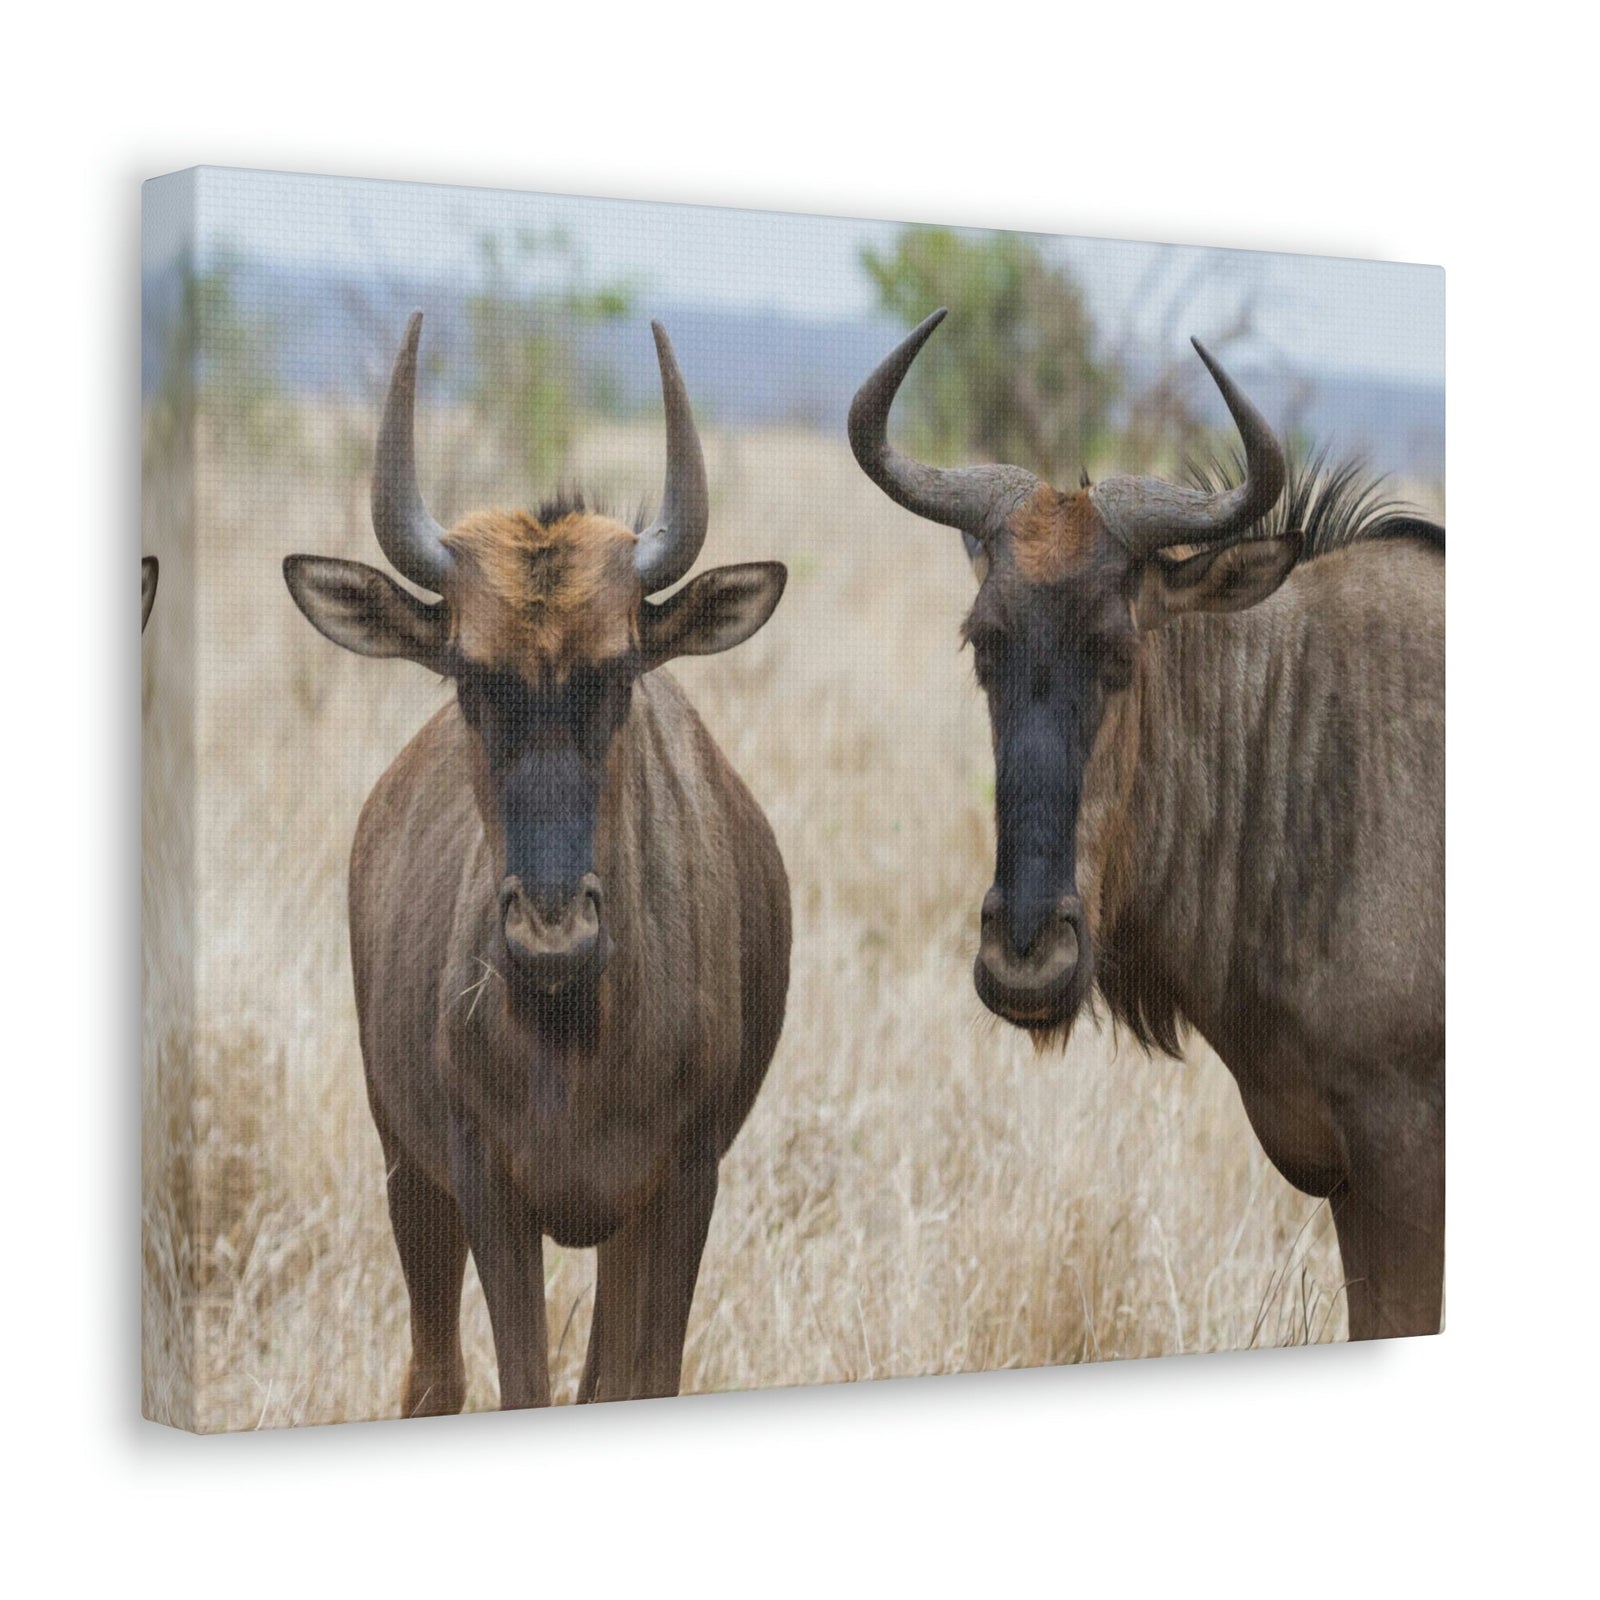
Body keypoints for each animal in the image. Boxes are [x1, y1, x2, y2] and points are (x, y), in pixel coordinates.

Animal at [284, 314, 791, 1410]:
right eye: (471, 675)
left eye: (621, 671)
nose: (552, 933)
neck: (574, 1032)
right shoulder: (486, 1187)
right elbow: (519, 1381)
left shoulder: (681, 1187)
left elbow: (640, 1378)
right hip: (407, 1172)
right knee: (434, 1376)